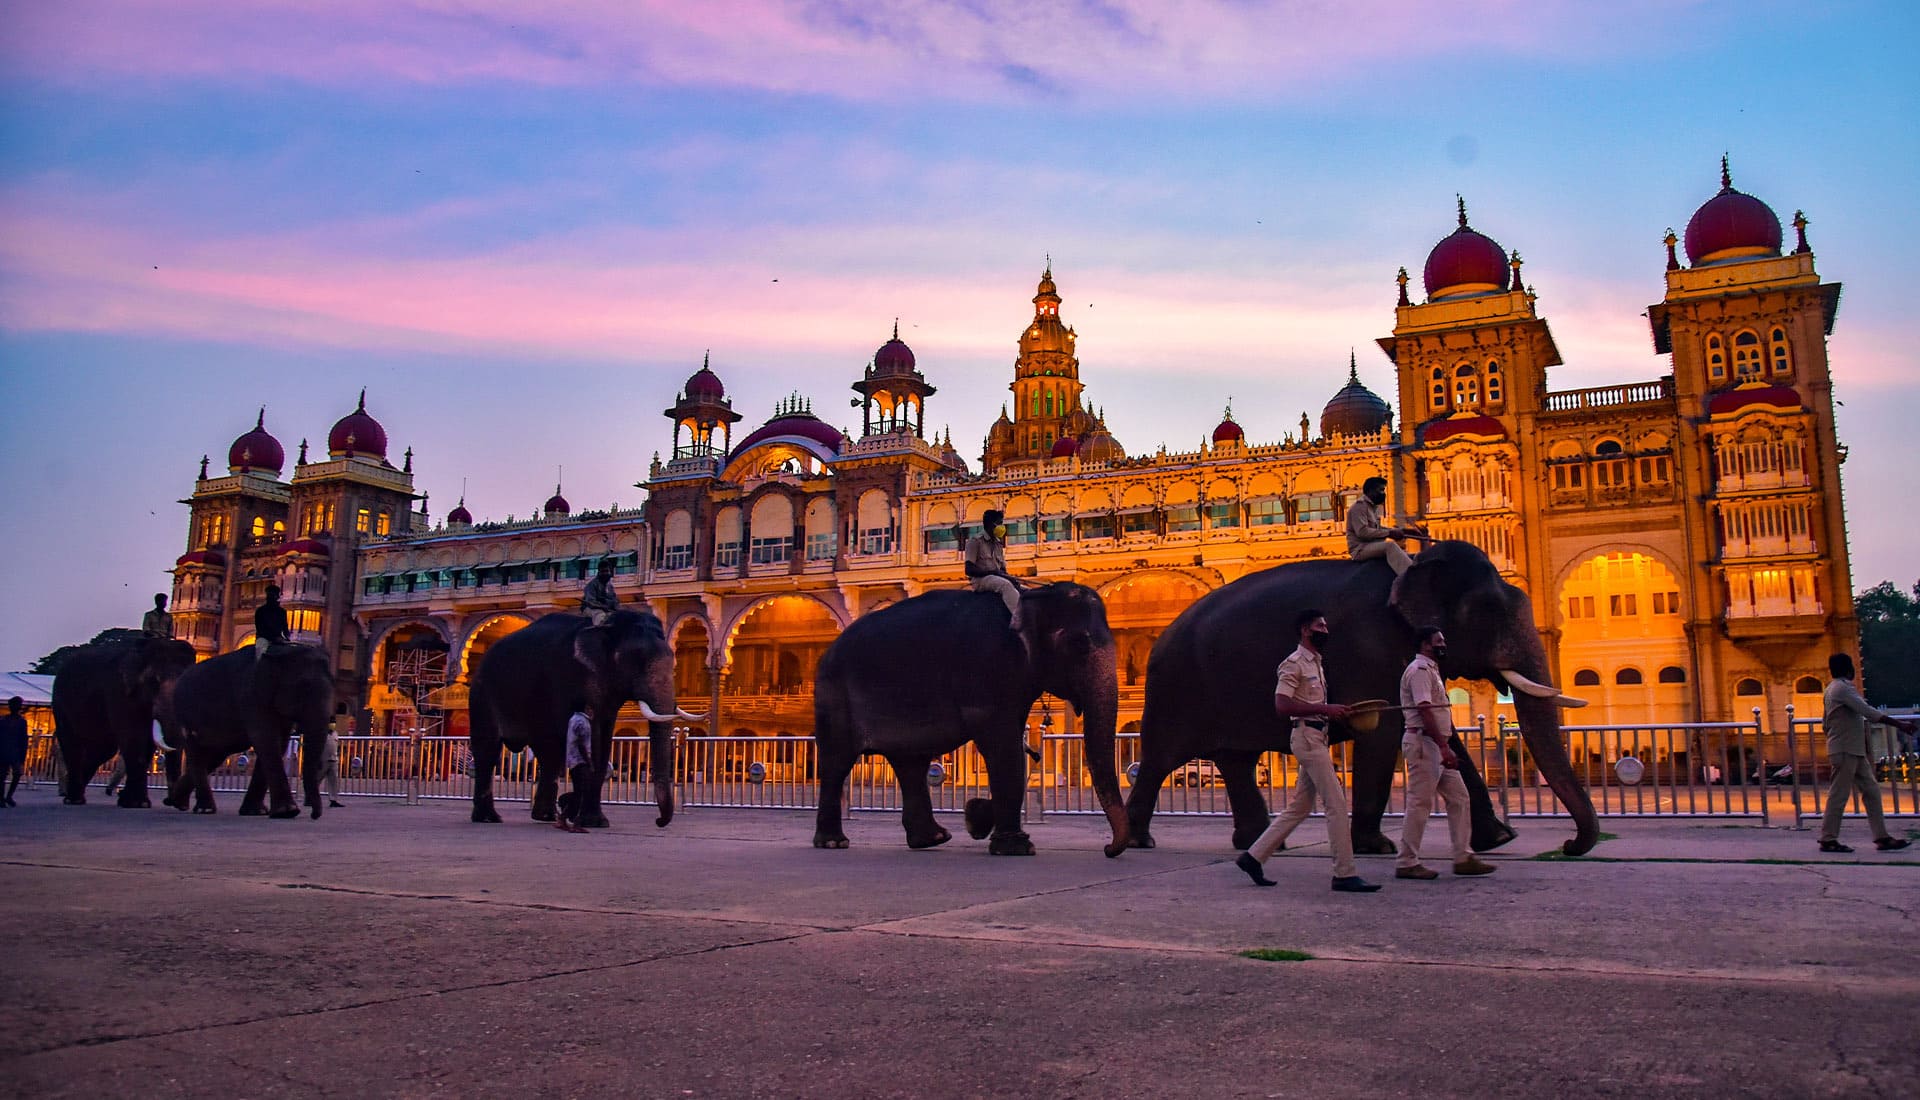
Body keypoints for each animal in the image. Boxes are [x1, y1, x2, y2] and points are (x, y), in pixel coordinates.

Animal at [53, 629, 198, 802]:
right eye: (154, 681)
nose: (168, 801)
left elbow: (147, 743)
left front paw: (133, 801)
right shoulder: (118, 691)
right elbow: (133, 737)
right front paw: (136, 803)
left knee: (103, 749)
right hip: (60, 702)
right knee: (72, 745)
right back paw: (73, 798)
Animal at [163, 645, 336, 813]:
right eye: (303, 686)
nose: (314, 815)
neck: (282, 650)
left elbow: (279, 743)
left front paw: (257, 811)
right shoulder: (250, 696)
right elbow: (266, 739)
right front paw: (288, 811)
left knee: (213, 757)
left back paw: (175, 802)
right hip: (184, 713)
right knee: (197, 754)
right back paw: (203, 809)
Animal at [468, 606, 702, 829]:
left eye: (673, 663)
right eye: (636, 661)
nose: (658, 821)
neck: (607, 628)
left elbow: (602, 744)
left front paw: (586, 816)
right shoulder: (566, 679)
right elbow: (588, 744)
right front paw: (590, 820)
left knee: (548, 754)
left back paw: (546, 816)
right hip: (482, 692)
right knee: (488, 751)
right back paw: (488, 818)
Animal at [806, 583, 1128, 856]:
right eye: (1080, 643)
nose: (1108, 849)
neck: (1030, 595)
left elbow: (1012, 745)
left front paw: (978, 818)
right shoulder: (985, 668)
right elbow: (1003, 746)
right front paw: (1016, 847)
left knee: (910, 763)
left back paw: (932, 839)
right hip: (834, 697)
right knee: (837, 762)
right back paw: (834, 843)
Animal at [1121, 541, 1605, 856]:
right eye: (1488, 610)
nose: (1569, 844)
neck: (1411, 566)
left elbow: (1444, 732)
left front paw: (1501, 839)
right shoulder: (1371, 647)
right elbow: (1383, 731)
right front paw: (1379, 847)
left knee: (1235, 759)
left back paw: (1259, 842)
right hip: (1174, 689)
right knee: (1160, 759)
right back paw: (1140, 840)